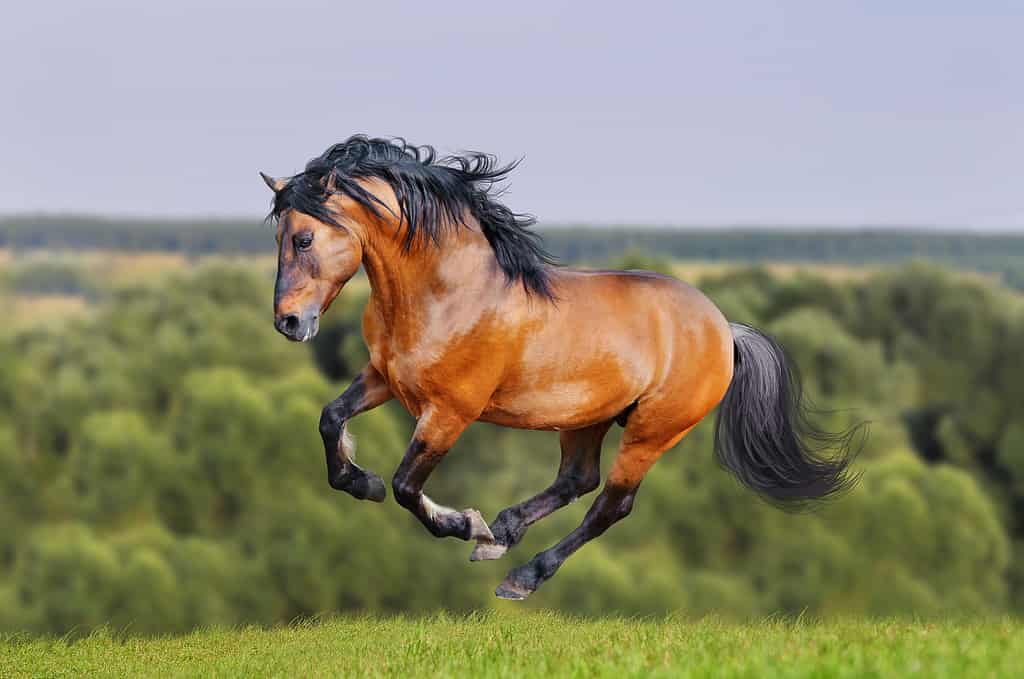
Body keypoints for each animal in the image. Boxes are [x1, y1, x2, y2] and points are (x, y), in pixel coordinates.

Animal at [260, 137, 860, 602]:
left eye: (304, 237)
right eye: (278, 237)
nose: (288, 322)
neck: (445, 292)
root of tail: (722, 329)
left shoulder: (451, 411)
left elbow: (408, 486)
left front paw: (465, 522)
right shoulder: (384, 377)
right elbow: (331, 419)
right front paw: (363, 483)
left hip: (652, 431)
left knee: (610, 505)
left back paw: (520, 574)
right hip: (587, 418)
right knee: (577, 479)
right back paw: (504, 533)